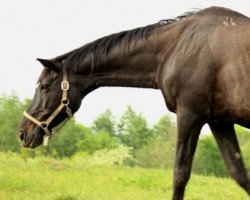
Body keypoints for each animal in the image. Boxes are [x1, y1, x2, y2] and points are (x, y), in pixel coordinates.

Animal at [19, 6, 250, 200]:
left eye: (44, 86)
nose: (23, 132)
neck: (176, 46)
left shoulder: (189, 115)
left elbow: (180, 175)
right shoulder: (219, 121)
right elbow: (239, 174)